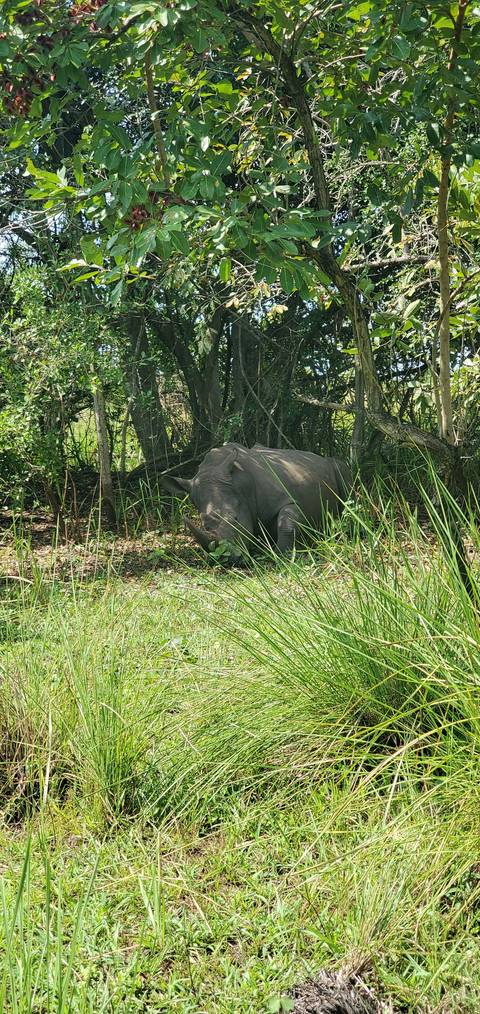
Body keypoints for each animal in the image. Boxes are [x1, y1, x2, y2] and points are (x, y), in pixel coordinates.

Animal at [161, 442, 352, 559]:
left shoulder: (288, 500)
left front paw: (280, 554)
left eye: (235, 518)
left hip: (332, 464)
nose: (228, 559)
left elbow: (286, 521)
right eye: (204, 525)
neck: (239, 485)